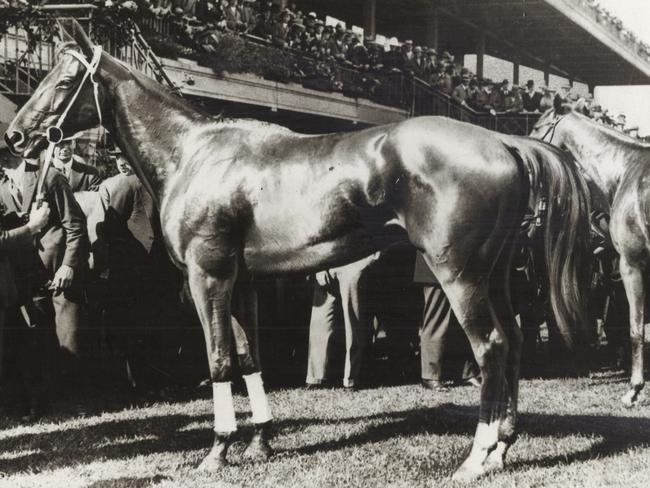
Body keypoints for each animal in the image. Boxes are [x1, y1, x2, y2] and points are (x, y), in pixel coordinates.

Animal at [5, 21, 592, 480]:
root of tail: (506, 141)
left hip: (460, 276)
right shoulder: (241, 279)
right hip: (496, 275)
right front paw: (260, 442)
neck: (195, 154)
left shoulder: (208, 274)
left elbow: (219, 359)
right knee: (514, 341)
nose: (15, 137)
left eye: (62, 81)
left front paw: (217, 450)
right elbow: (249, 356)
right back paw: (502, 449)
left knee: (490, 346)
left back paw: (476, 457)